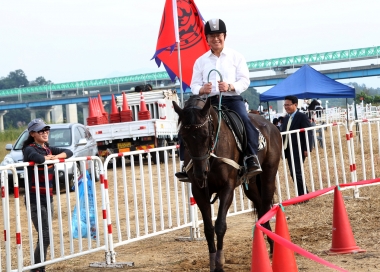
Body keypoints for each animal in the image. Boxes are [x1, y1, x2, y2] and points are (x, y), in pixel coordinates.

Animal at [173, 96, 282, 272]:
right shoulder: (199, 191)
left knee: (265, 206)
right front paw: (212, 263)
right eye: (183, 135)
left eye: (205, 134)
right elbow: (208, 228)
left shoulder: (227, 188)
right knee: (260, 206)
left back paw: (273, 246)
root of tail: (271, 125)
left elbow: (220, 225)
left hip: (269, 176)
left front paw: (220, 263)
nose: (200, 173)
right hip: (251, 185)